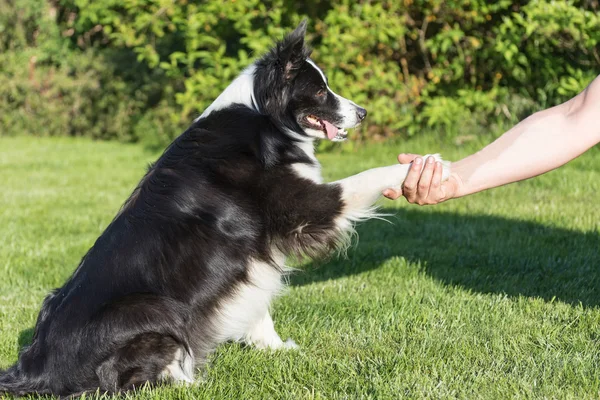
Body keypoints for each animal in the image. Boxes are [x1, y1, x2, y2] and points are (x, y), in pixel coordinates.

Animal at [0, 21, 448, 396]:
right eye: (320, 90)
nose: (362, 113)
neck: (264, 118)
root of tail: (33, 370)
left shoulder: (253, 254)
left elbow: (257, 301)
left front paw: (276, 350)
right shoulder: (303, 206)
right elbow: (367, 176)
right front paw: (424, 166)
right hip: (151, 306)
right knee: (121, 379)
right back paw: (191, 381)